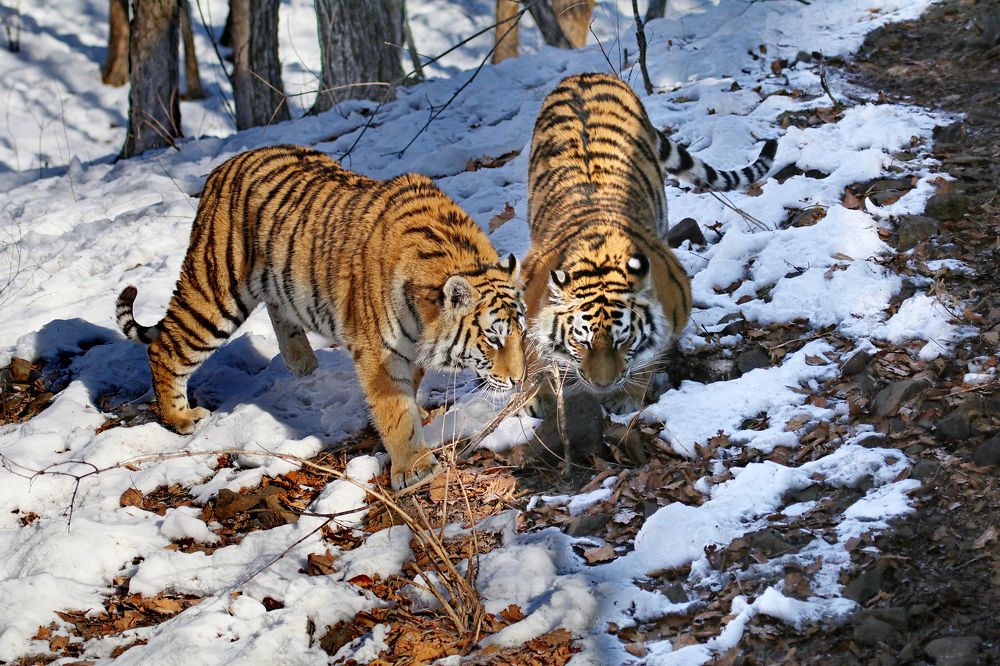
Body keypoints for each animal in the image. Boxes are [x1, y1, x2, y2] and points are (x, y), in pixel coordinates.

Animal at [116, 145, 526, 490]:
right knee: (164, 348)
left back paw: (302, 362)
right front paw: (415, 467)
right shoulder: (379, 352)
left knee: (278, 308)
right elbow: (397, 411)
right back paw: (181, 418)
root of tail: (224, 166)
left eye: (521, 333)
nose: (519, 380)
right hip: (215, 292)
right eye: (492, 338)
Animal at [521, 72, 776, 415]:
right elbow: (529, 356)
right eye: (581, 341)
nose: (602, 385)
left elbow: (648, 356)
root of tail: (584, 75)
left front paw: (626, 397)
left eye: (622, 340)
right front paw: (536, 397)